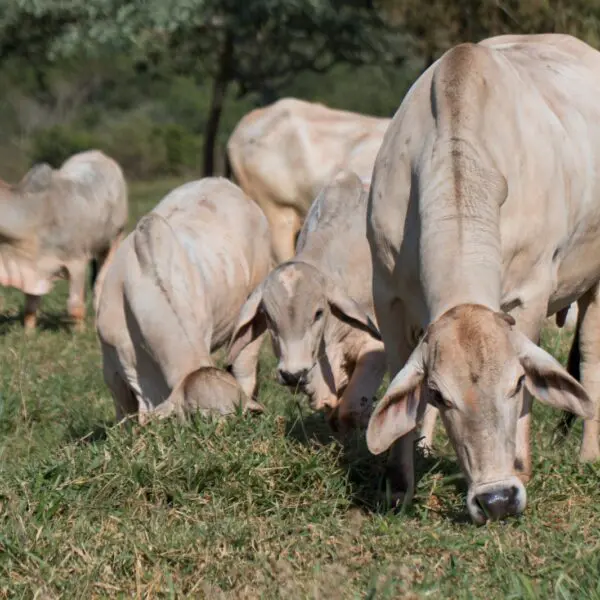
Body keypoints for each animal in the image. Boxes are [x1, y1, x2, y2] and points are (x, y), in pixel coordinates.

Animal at [0, 149, 127, 328]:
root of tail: (98, 154)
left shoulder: (77, 262)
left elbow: (75, 306)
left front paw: (80, 331)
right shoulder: (34, 268)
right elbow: (30, 306)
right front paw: (28, 332)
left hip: (116, 237)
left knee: (101, 281)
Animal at [364, 32, 596, 524]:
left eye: (517, 383)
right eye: (438, 394)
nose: (497, 499)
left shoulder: (530, 295)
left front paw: (522, 468)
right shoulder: (386, 294)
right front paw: (400, 483)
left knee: (590, 352)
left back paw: (589, 454)